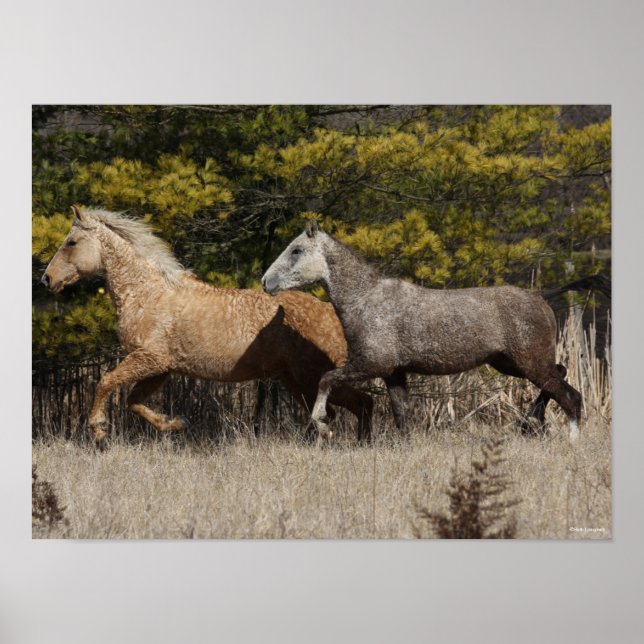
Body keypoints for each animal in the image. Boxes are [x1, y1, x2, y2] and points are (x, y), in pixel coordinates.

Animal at [41, 207, 373, 445]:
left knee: (360, 403)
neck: (146, 293)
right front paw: (175, 424)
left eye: (71, 242)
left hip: (310, 376)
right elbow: (134, 401)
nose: (47, 279)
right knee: (344, 408)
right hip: (295, 380)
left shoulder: (148, 359)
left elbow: (106, 382)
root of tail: (331, 313)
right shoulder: (160, 368)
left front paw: (98, 431)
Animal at [262, 220, 588, 443]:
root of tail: (540, 296)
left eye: (296, 250)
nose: (266, 281)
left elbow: (326, 379)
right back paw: (531, 421)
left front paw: (322, 423)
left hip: (529, 363)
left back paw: (567, 438)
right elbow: (401, 415)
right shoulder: (393, 373)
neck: (365, 299)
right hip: (510, 363)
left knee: (571, 396)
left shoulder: (371, 364)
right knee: (561, 375)